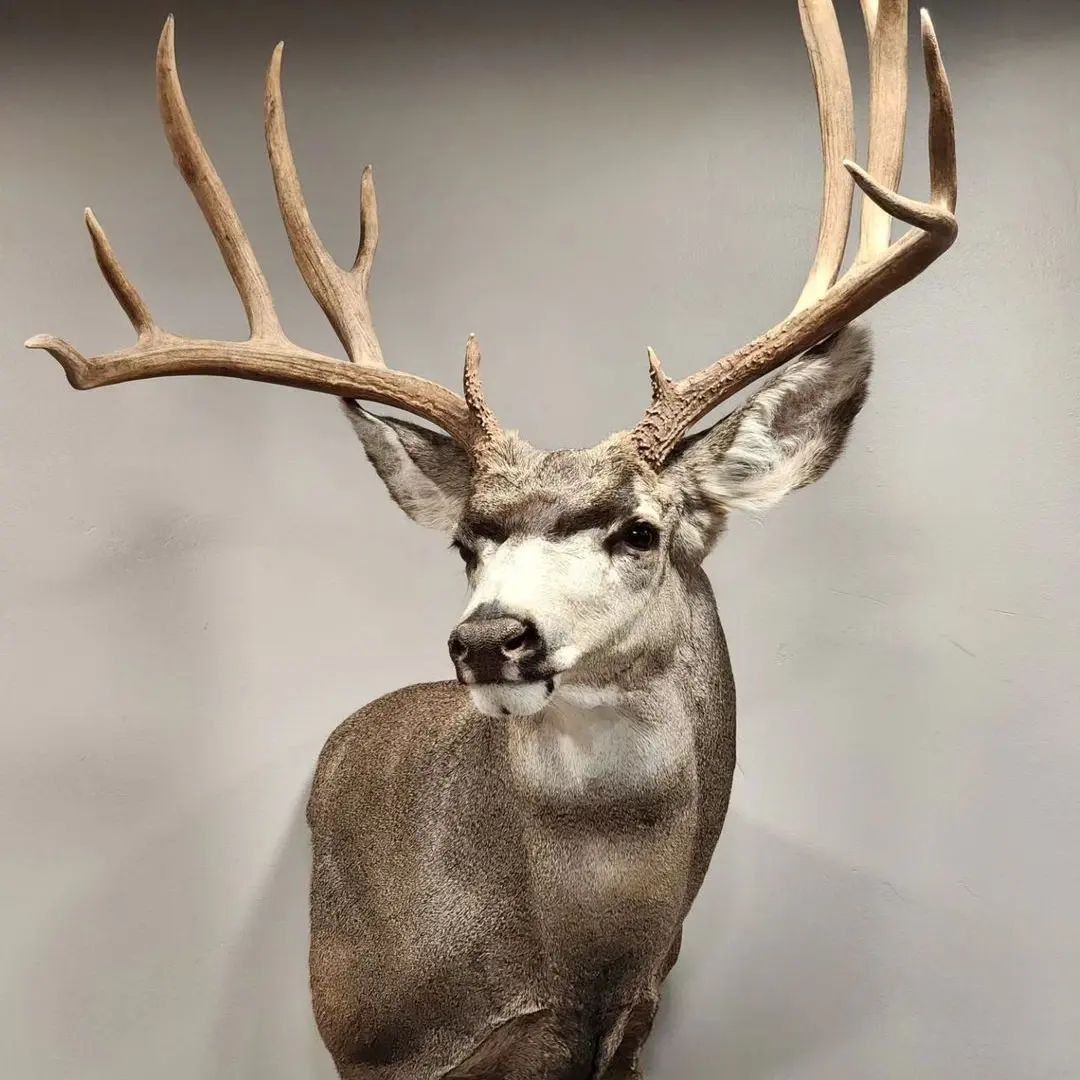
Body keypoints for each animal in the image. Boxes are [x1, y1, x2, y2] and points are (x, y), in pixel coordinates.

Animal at [27, 0, 956, 1076]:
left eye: (640, 529)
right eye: (467, 543)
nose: (487, 637)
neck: (574, 968)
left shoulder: (636, 1024)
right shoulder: (375, 1043)